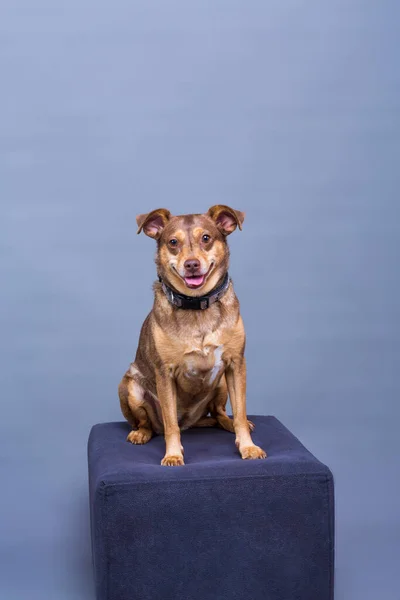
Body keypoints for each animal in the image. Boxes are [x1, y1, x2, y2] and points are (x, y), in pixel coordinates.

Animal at [119, 204, 266, 466]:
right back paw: (141, 433)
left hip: (221, 383)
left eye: (206, 238)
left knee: (219, 413)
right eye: (173, 242)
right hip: (130, 387)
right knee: (149, 423)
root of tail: (191, 421)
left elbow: (240, 412)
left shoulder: (236, 364)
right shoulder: (164, 373)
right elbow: (170, 425)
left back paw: (229, 424)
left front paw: (247, 446)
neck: (196, 305)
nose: (191, 264)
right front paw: (173, 454)